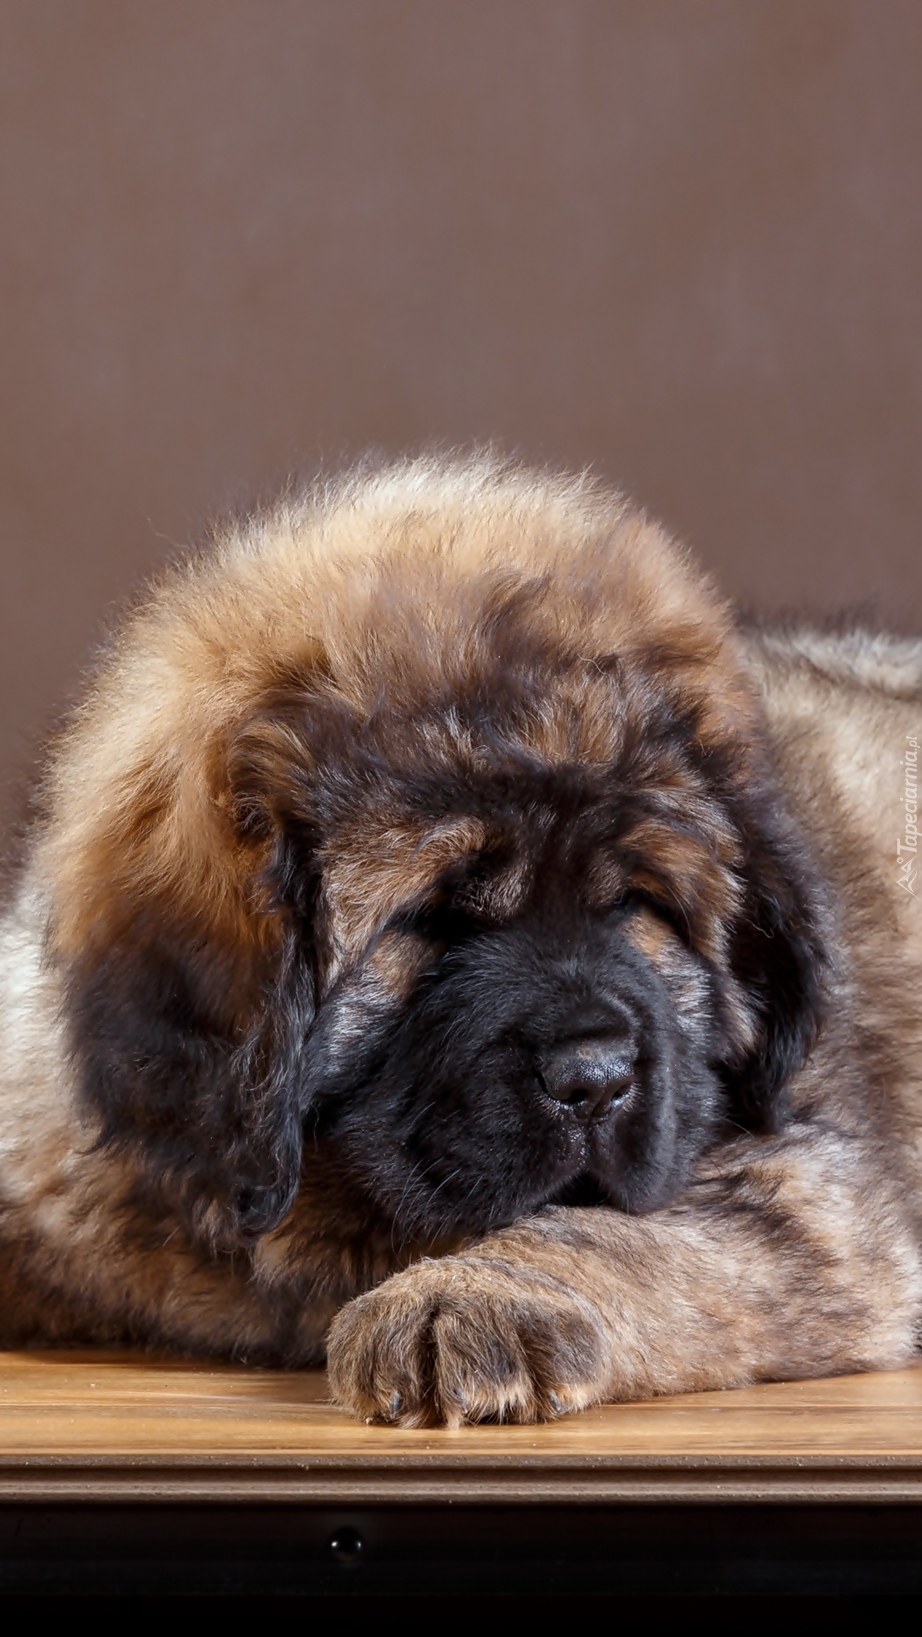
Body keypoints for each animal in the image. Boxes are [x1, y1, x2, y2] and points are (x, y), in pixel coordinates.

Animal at [1, 454, 921, 1427]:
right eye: (431, 917)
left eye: (635, 903)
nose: (595, 1076)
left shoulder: (812, 1186)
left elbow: (617, 1232)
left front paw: (461, 1299)